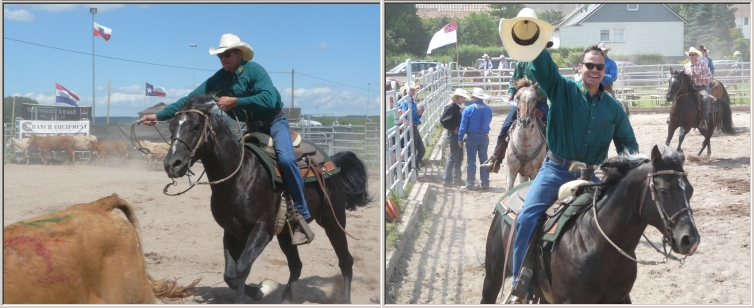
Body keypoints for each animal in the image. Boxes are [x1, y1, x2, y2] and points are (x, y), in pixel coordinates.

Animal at [161, 94, 370, 304]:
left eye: (196, 127)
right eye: (171, 127)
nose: (172, 164)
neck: (239, 177)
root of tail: (331, 163)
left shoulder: (262, 230)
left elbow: (242, 268)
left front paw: (261, 290)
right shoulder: (231, 231)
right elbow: (230, 275)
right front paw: (260, 291)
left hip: (332, 219)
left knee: (345, 260)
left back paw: (345, 299)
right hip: (286, 233)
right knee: (296, 265)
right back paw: (286, 298)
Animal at [482, 144, 700, 304]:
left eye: (690, 190)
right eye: (662, 190)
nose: (690, 240)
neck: (597, 243)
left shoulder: (620, 299)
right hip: (493, 276)